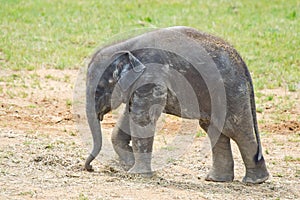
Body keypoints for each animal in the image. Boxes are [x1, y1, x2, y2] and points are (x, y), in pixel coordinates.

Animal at [84, 26, 270, 184]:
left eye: (98, 90)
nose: (90, 168)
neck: (124, 47)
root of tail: (241, 61)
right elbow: (130, 116)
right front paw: (129, 164)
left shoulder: (151, 77)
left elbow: (141, 118)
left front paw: (136, 173)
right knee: (214, 129)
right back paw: (217, 179)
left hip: (230, 90)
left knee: (235, 129)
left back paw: (255, 181)